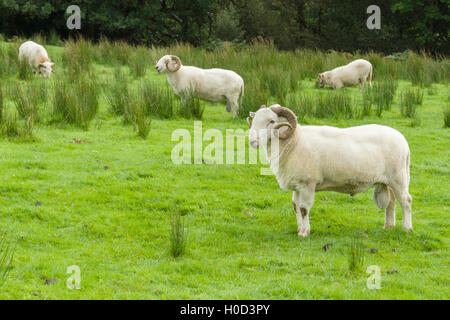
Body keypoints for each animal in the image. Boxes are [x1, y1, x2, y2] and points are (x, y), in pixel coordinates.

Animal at [248, 105, 414, 238]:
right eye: (254, 119)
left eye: (272, 121)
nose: (252, 141)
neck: (294, 142)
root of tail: (403, 141)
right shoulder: (297, 184)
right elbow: (295, 206)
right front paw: (299, 229)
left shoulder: (307, 184)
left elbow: (303, 208)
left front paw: (305, 233)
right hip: (387, 181)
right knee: (391, 202)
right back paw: (388, 227)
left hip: (399, 178)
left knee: (406, 200)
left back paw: (407, 228)